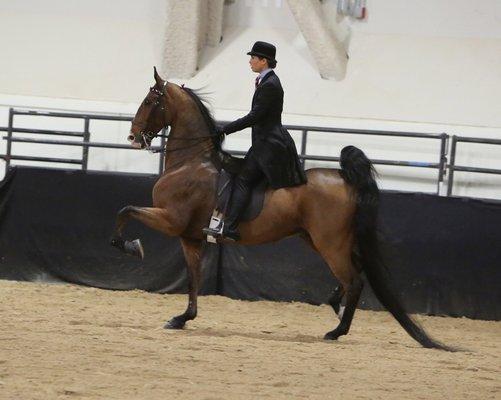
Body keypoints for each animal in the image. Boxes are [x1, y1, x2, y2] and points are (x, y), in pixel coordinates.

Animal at [110, 68, 454, 350]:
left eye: (149, 102)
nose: (132, 137)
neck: (191, 162)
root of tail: (344, 177)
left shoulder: (170, 220)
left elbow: (125, 211)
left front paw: (132, 247)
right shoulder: (190, 237)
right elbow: (193, 278)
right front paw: (183, 318)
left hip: (330, 242)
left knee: (354, 279)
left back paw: (336, 331)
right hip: (319, 240)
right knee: (354, 273)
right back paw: (336, 307)